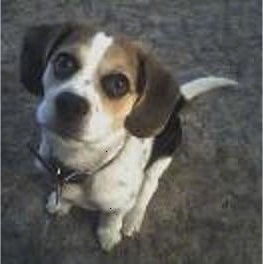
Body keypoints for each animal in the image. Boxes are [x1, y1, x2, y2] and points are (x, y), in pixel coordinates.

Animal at [20, 21, 238, 251]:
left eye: (118, 84)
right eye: (64, 62)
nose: (70, 104)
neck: (78, 164)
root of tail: (176, 106)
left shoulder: (119, 204)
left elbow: (112, 218)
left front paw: (108, 234)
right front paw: (61, 203)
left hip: (158, 164)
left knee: (146, 192)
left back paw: (133, 219)